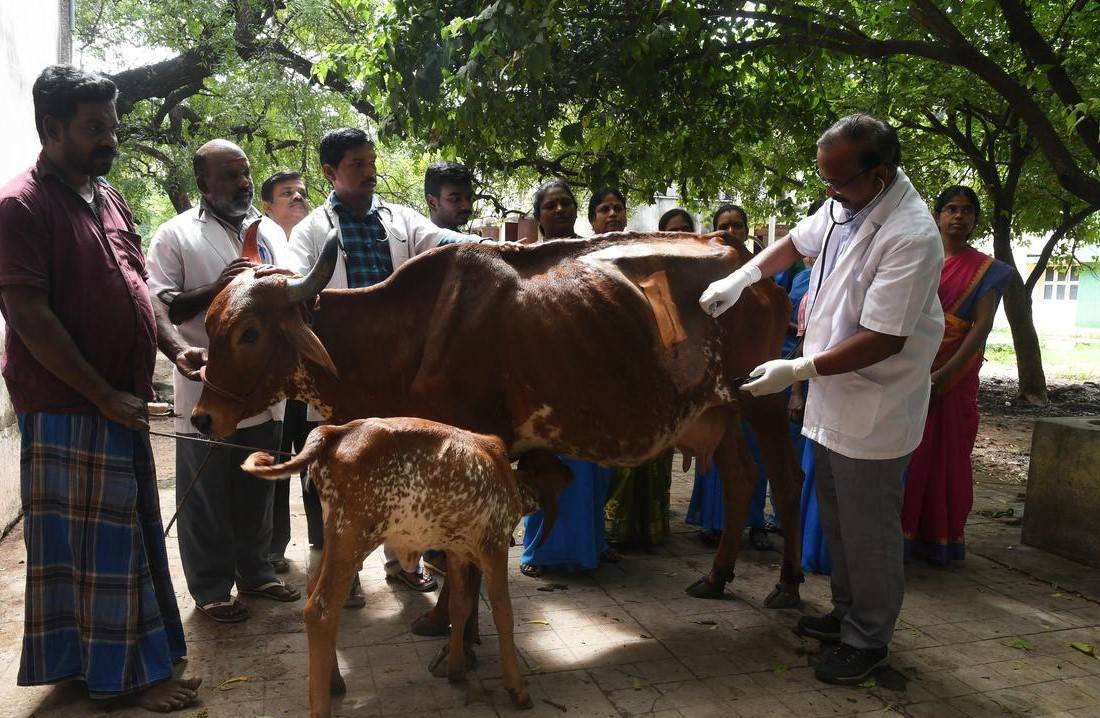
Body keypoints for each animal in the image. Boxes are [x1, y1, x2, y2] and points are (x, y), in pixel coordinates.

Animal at [193, 229, 800, 615]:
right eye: (211, 323)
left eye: (249, 332)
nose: (203, 415)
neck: (409, 334)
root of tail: (741, 258)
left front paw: (451, 624)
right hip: (717, 413)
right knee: (742, 478)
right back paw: (717, 577)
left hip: (762, 400)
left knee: (786, 481)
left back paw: (789, 588)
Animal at [239, 413, 567, 716]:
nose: (572, 474)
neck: (509, 480)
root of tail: (336, 431)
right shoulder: (494, 546)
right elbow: (503, 612)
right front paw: (517, 688)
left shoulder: (458, 551)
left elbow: (459, 605)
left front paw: (456, 668)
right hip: (354, 536)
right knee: (320, 611)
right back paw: (322, 704)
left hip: (338, 537)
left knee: (314, 593)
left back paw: (334, 680)